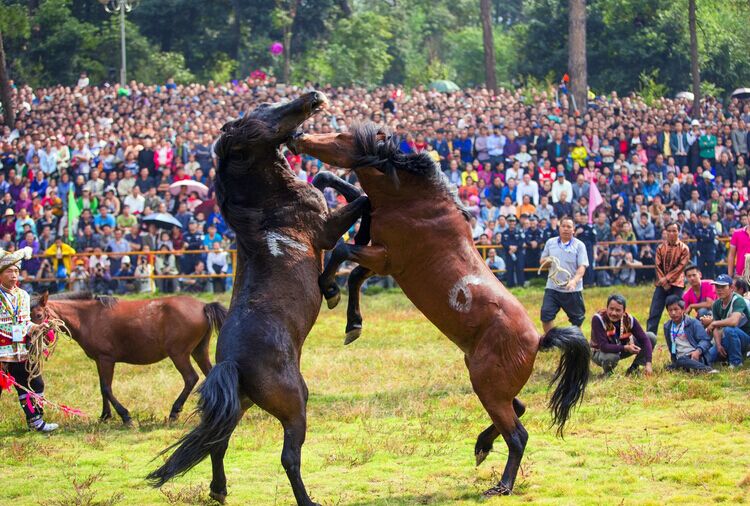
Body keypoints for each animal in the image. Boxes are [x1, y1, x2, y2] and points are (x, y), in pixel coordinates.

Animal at [30, 290, 225, 424]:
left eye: (38, 315)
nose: (29, 339)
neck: (88, 317)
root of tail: (203, 306)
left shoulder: (106, 359)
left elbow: (107, 388)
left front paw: (125, 416)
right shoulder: (99, 360)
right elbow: (102, 388)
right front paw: (105, 416)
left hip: (179, 354)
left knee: (191, 378)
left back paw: (175, 412)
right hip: (199, 351)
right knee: (210, 374)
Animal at [145, 92, 368, 506]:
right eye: (261, 115)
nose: (312, 97)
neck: (268, 208)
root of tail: (232, 363)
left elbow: (327, 182)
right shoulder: (326, 229)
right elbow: (357, 205)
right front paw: (332, 291)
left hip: (242, 404)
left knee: (217, 443)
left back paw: (219, 489)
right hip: (294, 405)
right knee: (288, 457)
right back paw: (306, 500)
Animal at [290, 123, 592, 498]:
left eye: (342, 137)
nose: (298, 137)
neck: (412, 201)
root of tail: (539, 340)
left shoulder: (385, 257)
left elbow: (343, 251)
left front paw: (329, 290)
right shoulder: (381, 261)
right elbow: (356, 271)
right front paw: (352, 324)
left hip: (488, 387)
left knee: (517, 434)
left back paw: (501, 484)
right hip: (492, 387)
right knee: (518, 409)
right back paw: (481, 447)